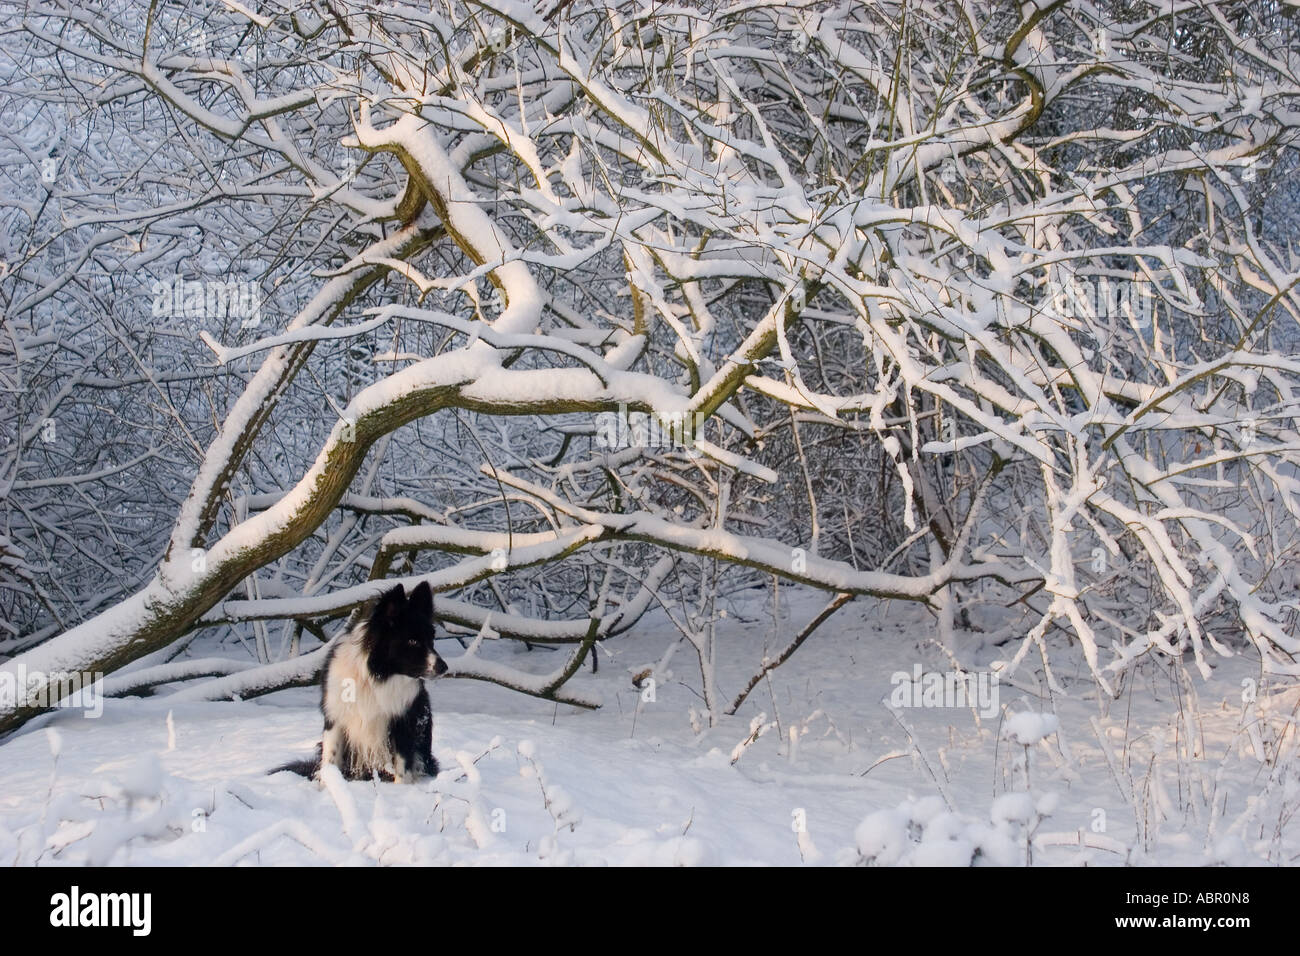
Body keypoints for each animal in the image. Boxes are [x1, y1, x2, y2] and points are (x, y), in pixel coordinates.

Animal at [273, 580, 447, 780]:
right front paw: (329, 785)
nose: (444, 667)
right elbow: (330, 760)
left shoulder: (403, 720)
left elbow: (402, 769)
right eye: (413, 641)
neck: (373, 676)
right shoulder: (335, 717)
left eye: (431, 640)